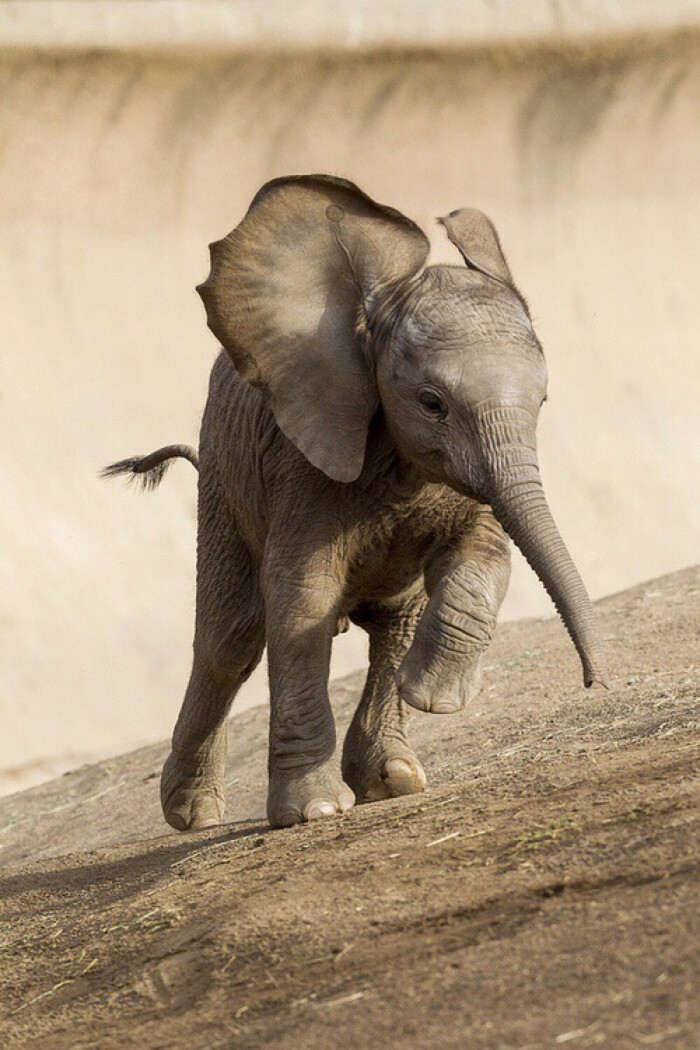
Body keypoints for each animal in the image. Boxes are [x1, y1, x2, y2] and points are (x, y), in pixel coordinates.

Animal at [105, 174, 608, 827]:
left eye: (543, 402)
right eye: (431, 403)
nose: (597, 683)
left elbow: (486, 554)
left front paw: (432, 696)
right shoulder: (302, 460)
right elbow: (301, 597)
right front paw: (315, 810)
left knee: (393, 622)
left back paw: (394, 778)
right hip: (222, 480)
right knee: (228, 643)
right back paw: (193, 816)